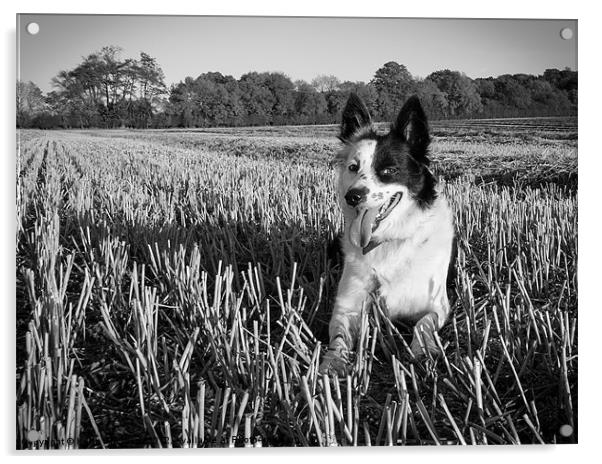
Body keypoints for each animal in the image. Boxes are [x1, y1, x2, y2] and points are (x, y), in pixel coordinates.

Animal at [316, 92, 452, 376]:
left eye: (388, 170)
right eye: (353, 167)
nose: (353, 196)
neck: (390, 242)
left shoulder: (438, 305)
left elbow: (423, 323)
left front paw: (422, 352)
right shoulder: (346, 306)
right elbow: (338, 338)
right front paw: (332, 363)